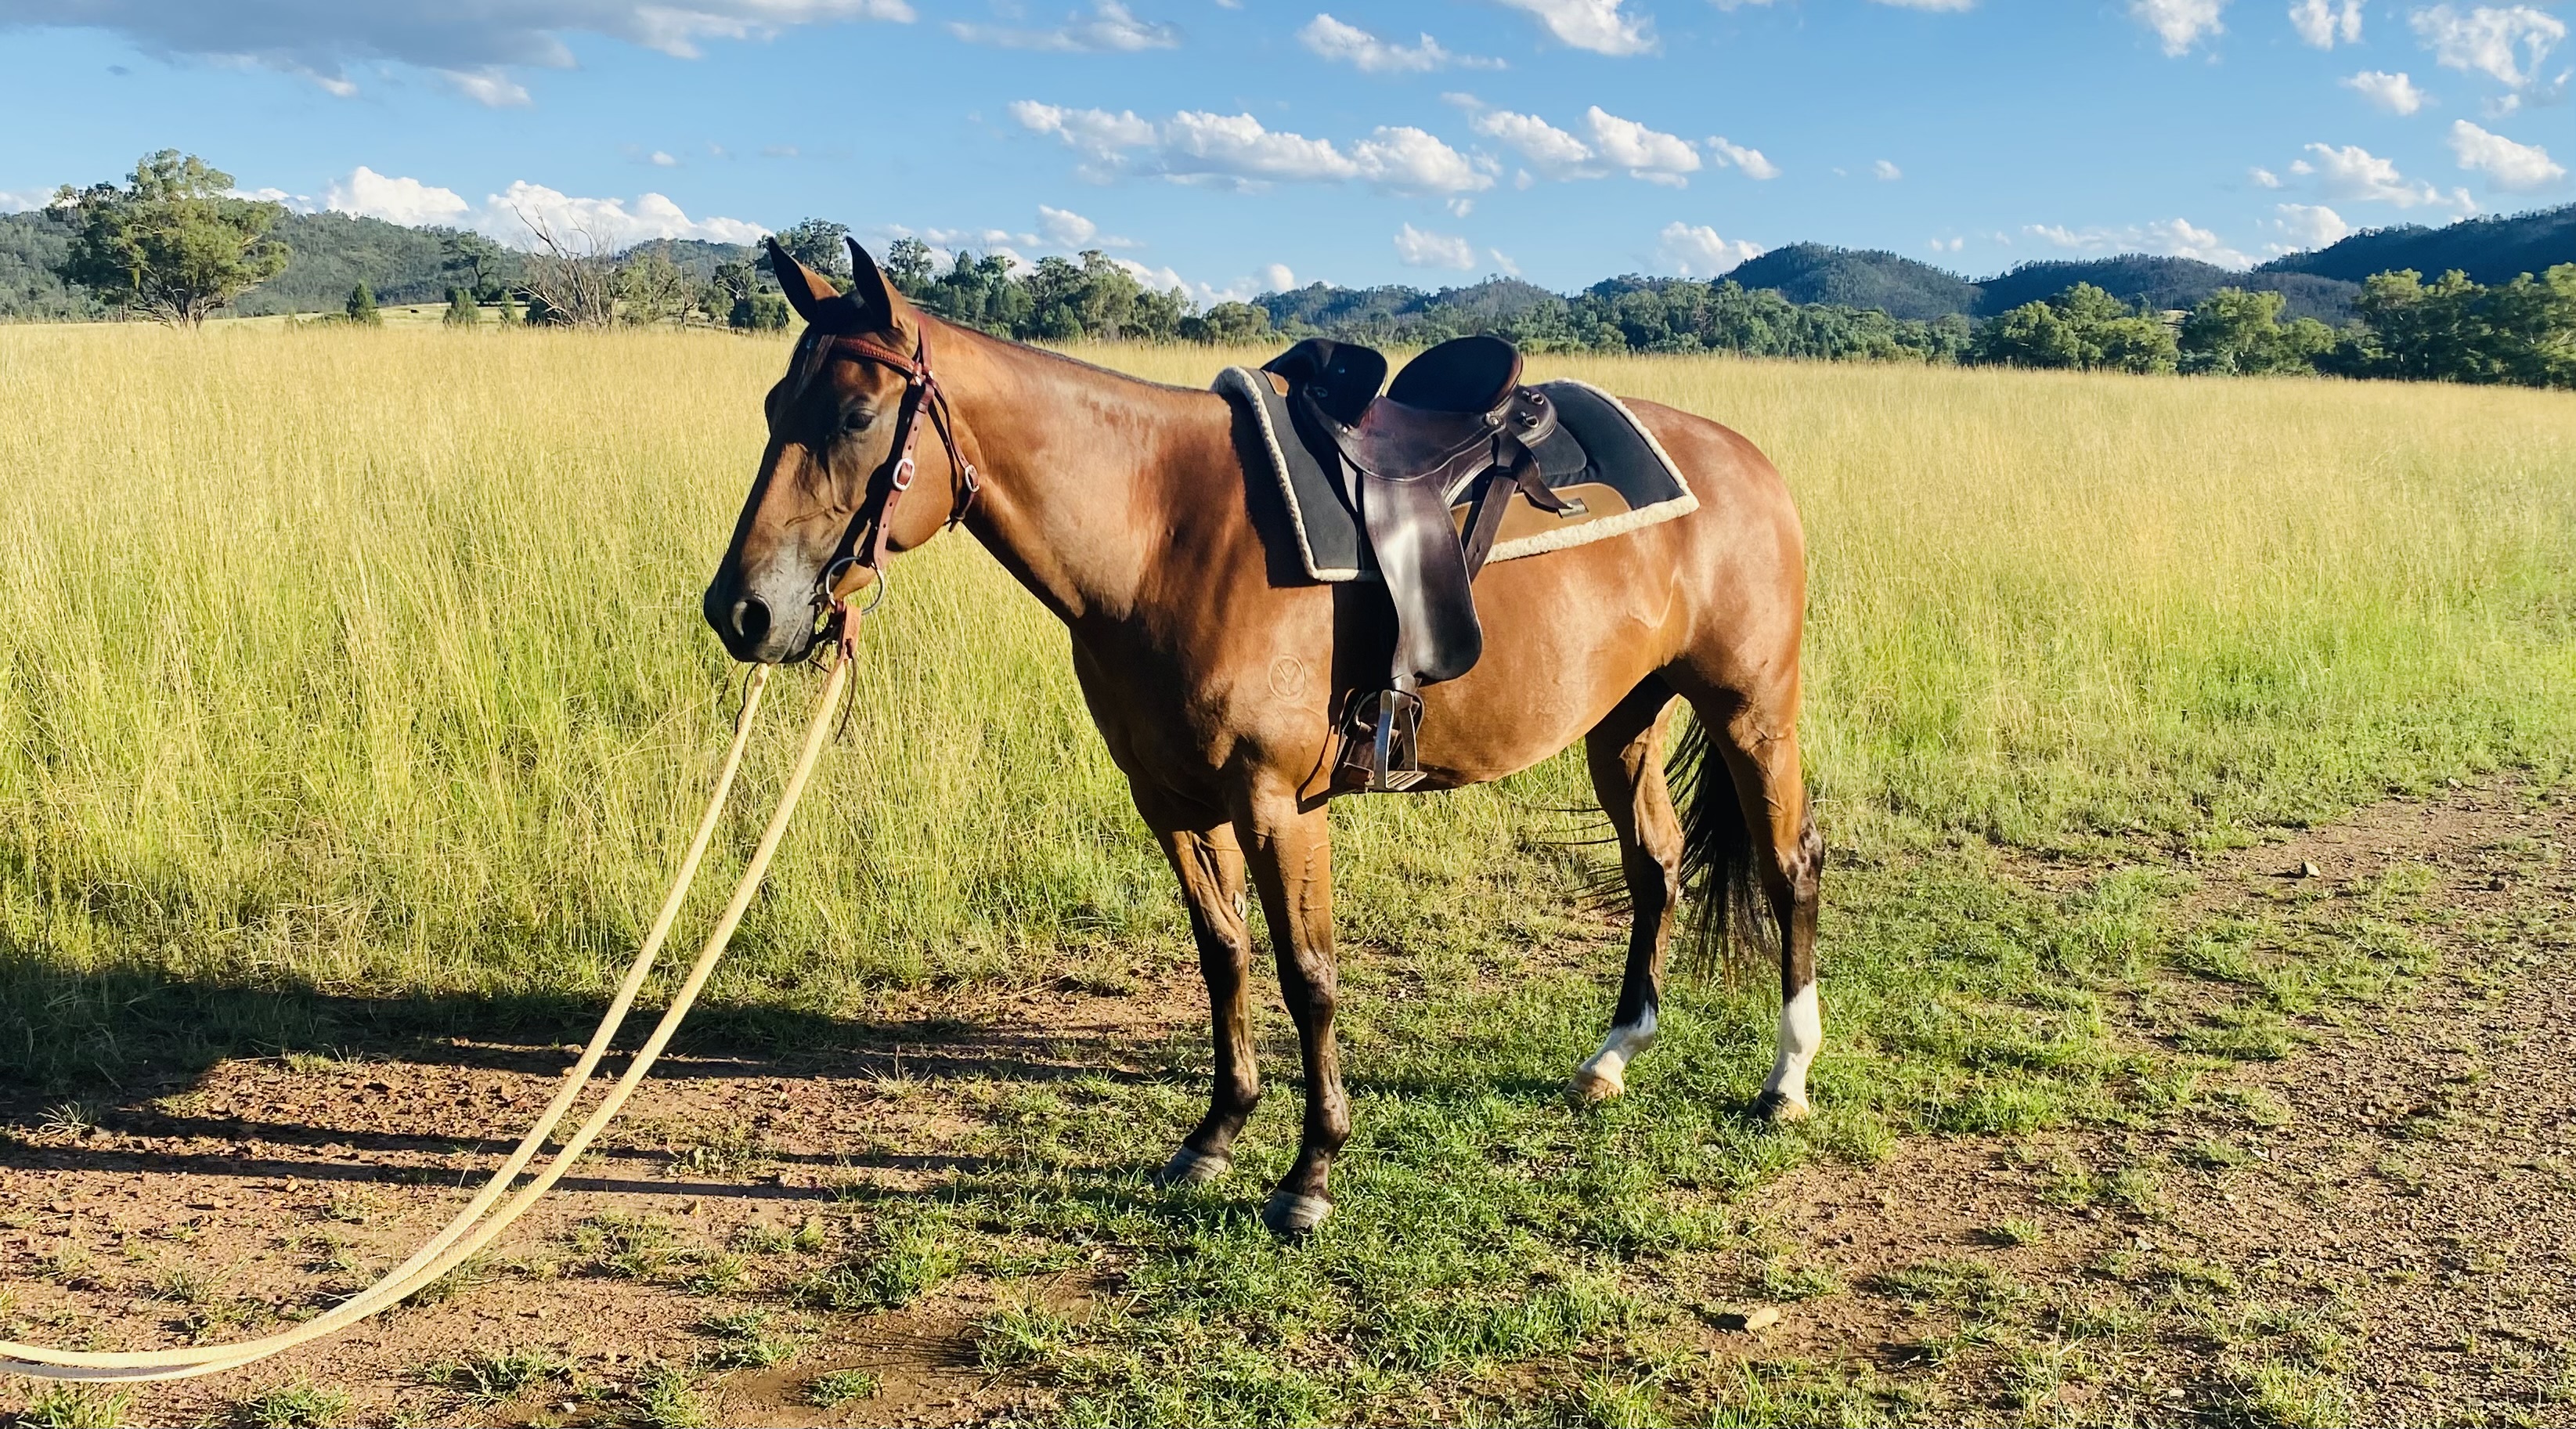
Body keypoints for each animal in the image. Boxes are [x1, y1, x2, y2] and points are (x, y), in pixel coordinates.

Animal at [703, 239, 1822, 1236]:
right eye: (768, 409)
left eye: (855, 416)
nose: (741, 611)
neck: (1160, 535)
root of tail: (1746, 460)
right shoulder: (1168, 801)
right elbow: (1223, 955)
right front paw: (1214, 1133)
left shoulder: (1278, 803)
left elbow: (1307, 974)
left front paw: (1309, 1173)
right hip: (1622, 721)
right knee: (1656, 864)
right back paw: (1613, 1056)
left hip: (1750, 711)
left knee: (1788, 864)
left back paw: (1786, 1075)